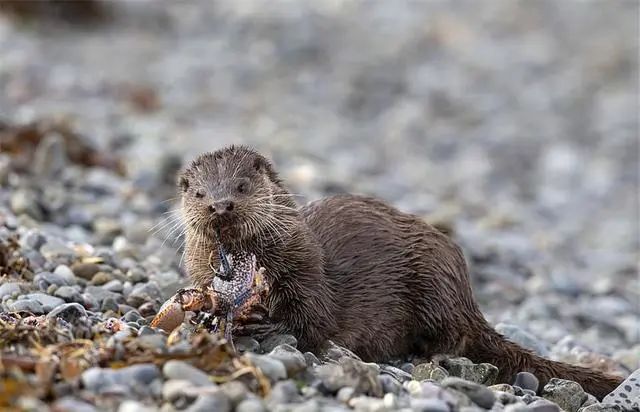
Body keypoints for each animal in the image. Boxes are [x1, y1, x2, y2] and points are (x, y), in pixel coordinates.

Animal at [178, 144, 624, 400]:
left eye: (241, 186)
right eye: (200, 193)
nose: (220, 205)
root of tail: (467, 292)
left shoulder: (309, 274)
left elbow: (312, 320)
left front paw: (267, 324)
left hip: (435, 283)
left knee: (454, 336)